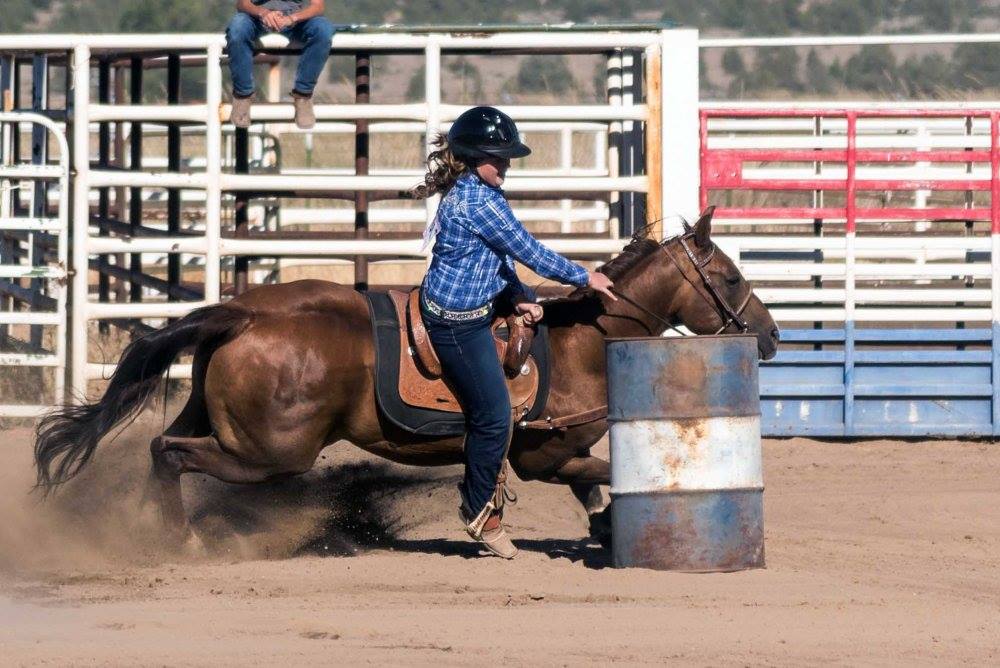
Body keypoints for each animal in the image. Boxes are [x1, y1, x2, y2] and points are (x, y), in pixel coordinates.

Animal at [34, 207, 779, 549]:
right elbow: (604, 477)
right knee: (168, 454)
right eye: (729, 278)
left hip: (218, 422)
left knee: (163, 448)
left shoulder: (555, 458)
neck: (580, 341)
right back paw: (176, 538)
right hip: (268, 452)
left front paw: (599, 531)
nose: (770, 337)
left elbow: (593, 491)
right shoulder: (543, 455)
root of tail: (241, 314)